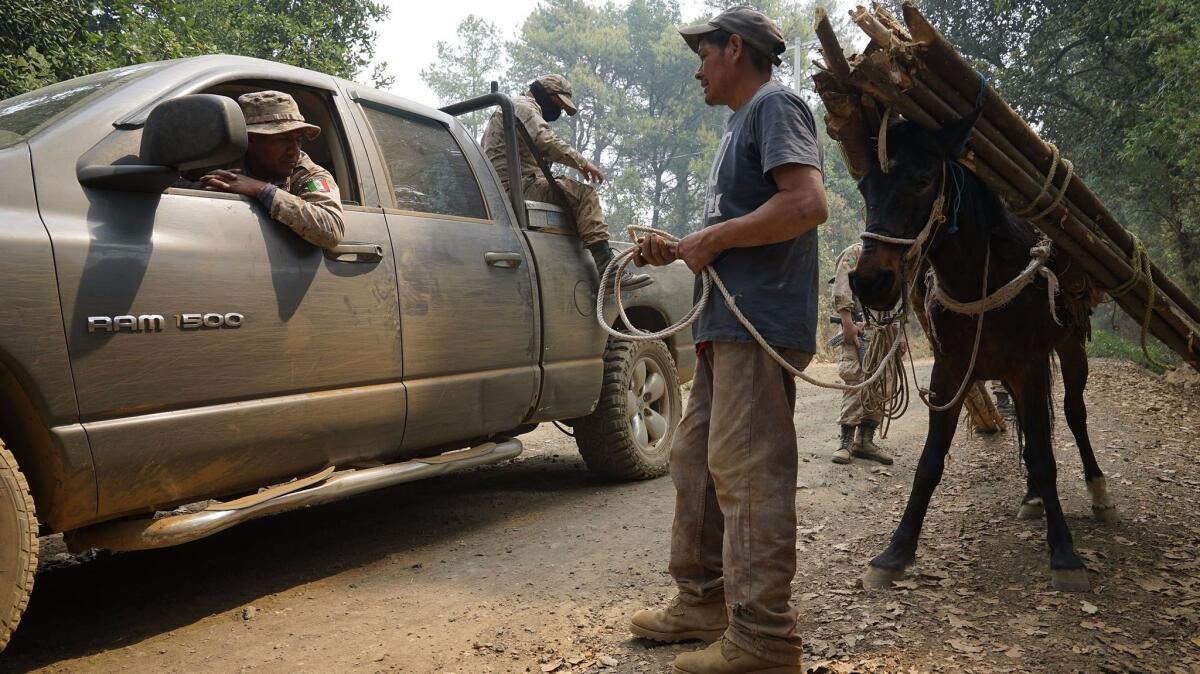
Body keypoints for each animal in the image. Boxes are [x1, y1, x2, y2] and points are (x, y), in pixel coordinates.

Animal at [854, 109, 1113, 587]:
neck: (983, 278)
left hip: (1070, 350)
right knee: (1033, 426)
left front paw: (1064, 553)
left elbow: (1047, 456)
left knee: (1073, 414)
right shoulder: (951, 370)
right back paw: (1033, 497)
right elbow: (930, 462)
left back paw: (1099, 492)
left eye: (923, 180)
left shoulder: (1030, 364)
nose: (870, 282)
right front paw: (896, 550)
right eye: (865, 187)